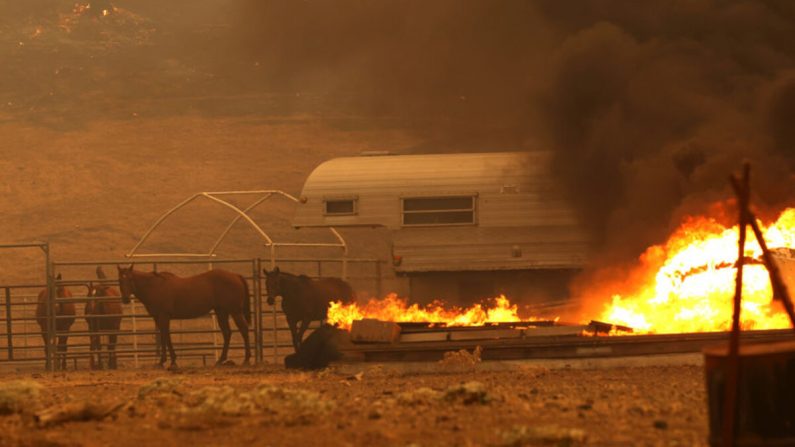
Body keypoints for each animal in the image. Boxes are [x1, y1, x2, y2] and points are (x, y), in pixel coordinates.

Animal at [115, 264, 250, 370]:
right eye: (120, 280)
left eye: (130, 279)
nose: (126, 299)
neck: (155, 286)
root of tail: (236, 276)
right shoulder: (158, 318)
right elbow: (165, 336)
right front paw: (169, 361)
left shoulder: (164, 316)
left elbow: (165, 336)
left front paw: (165, 362)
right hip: (222, 312)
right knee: (227, 333)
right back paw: (220, 360)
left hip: (235, 312)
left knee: (243, 330)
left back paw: (246, 360)